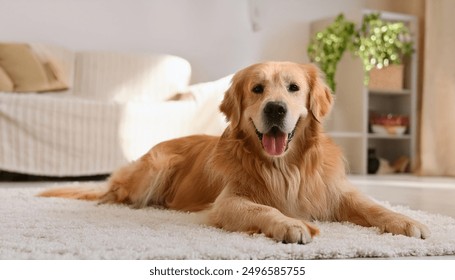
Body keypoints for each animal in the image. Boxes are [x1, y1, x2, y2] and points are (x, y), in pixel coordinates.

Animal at [40, 62, 432, 244]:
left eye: (293, 88)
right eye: (257, 89)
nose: (275, 108)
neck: (283, 167)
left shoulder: (335, 192)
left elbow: (373, 206)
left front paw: (406, 221)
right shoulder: (229, 202)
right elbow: (265, 209)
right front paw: (290, 224)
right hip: (157, 166)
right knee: (114, 191)